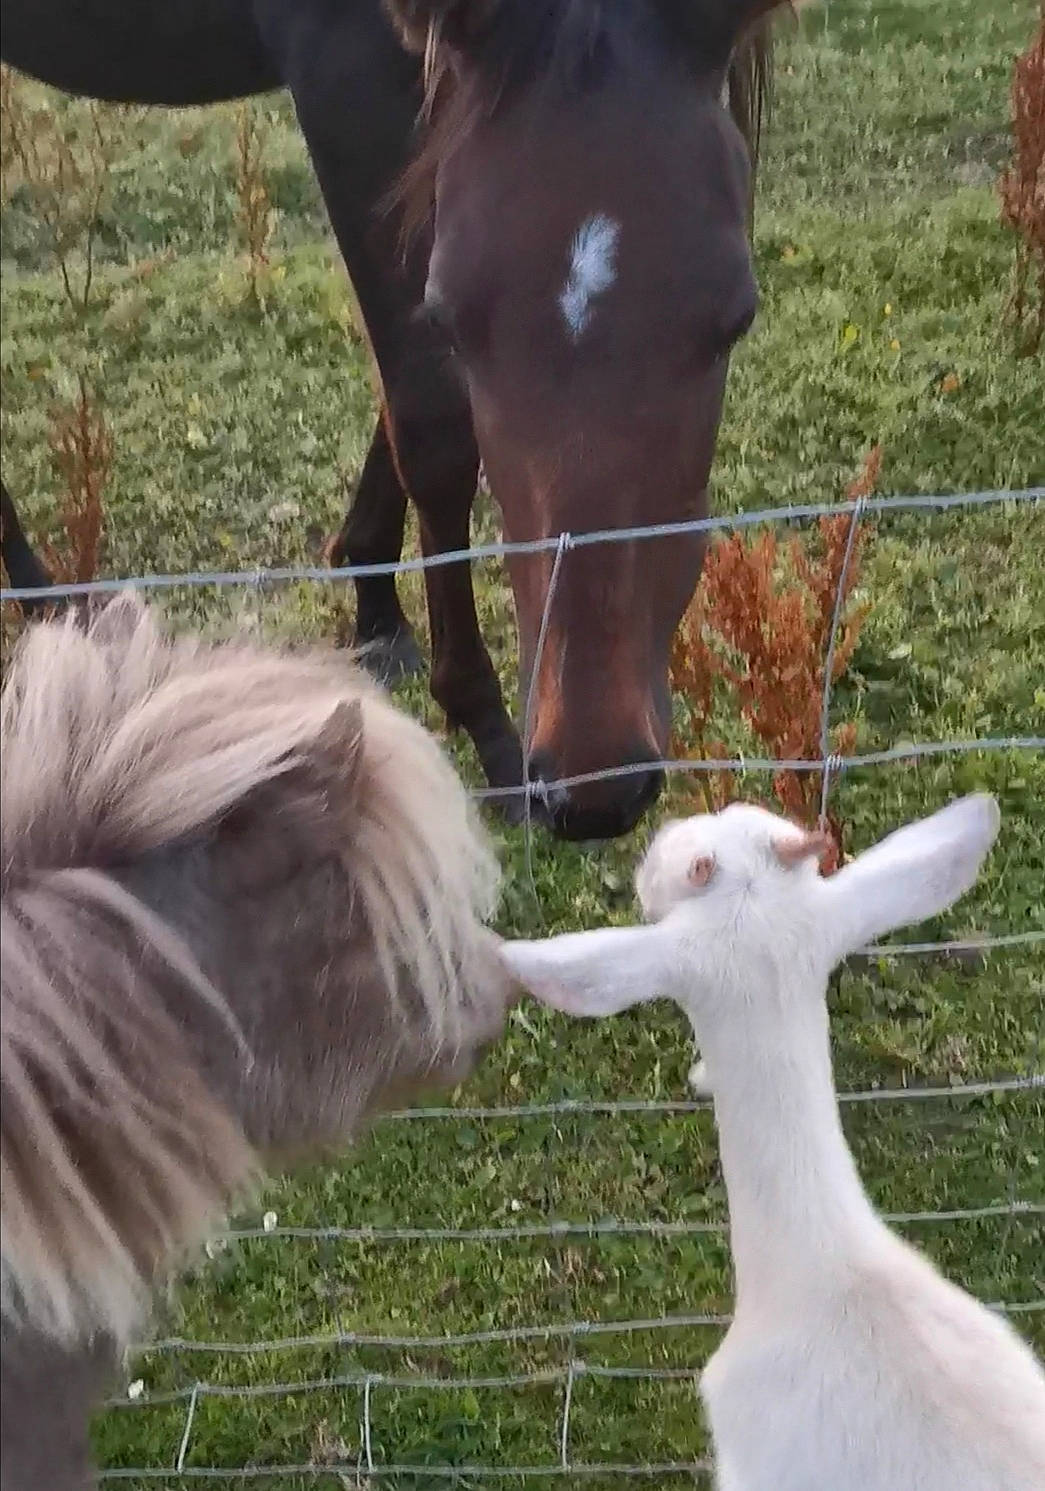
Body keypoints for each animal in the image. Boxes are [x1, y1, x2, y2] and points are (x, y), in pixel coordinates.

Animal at [1, 0, 788, 841]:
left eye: (736, 318)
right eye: (452, 317)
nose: (594, 784)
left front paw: (374, 604)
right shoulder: (346, 74)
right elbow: (430, 423)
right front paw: (482, 722)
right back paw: (46, 599)